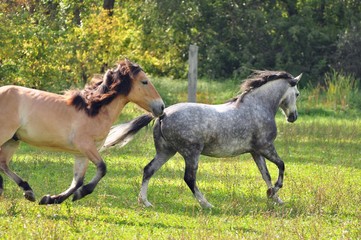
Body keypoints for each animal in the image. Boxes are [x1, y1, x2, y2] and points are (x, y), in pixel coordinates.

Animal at [0, 59, 163, 203]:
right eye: (144, 81)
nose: (161, 107)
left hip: (12, 140)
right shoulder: (85, 145)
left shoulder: (81, 154)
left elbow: (77, 181)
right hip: (5, 136)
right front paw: (80, 193)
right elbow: (102, 168)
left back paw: (27, 191)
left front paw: (51, 199)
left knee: (3, 164)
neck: (93, 110)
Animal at [103, 70, 300, 208]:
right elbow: (281, 166)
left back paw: (145, 202)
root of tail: (163, 114)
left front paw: (276, 198)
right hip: (191, 153)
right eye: (297, 94)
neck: (258, 106)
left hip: (166, 151)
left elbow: (265, 174)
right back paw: (206, 204)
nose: (293, 117)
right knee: (189, 178)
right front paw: (273, 193)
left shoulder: (255, 152)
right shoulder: (266, 147)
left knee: (148, 170)